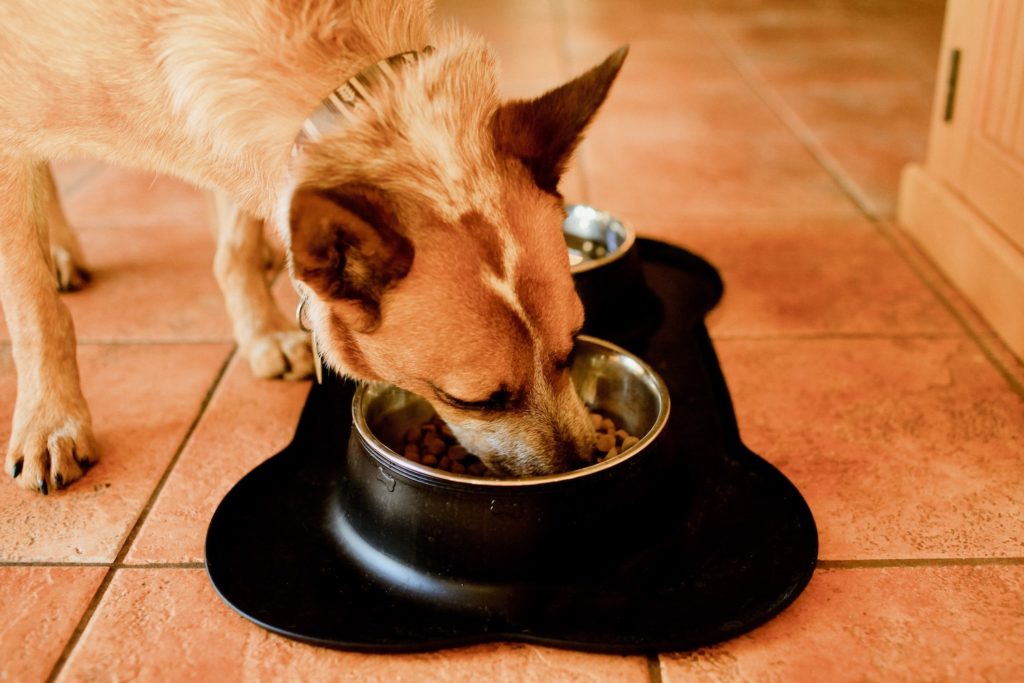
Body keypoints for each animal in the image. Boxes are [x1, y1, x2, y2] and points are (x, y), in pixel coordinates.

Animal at [0, 0, 626, 491]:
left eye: (573, 347)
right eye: (474, 401)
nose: (583, 466)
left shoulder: (237, 142)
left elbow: (234, 246)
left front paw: (261, 331)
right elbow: (36, 311)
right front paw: (51, 420)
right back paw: (60, 254)